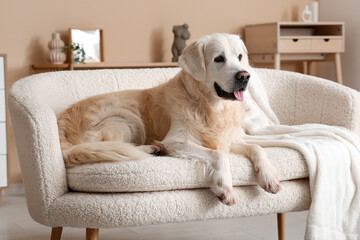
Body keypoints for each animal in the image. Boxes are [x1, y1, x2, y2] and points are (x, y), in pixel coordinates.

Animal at [57, 33, 282, 206]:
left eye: (240, 56)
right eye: (219, 58)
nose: (244, 76)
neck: (208, 105)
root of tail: (61, 122)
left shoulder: (228, 139)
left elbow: (256, 148)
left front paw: (269, 176)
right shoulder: (176, 141)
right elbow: (218, 156)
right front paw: (224, 188)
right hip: (126, 117)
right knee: (115, 145)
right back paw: (150, 148)